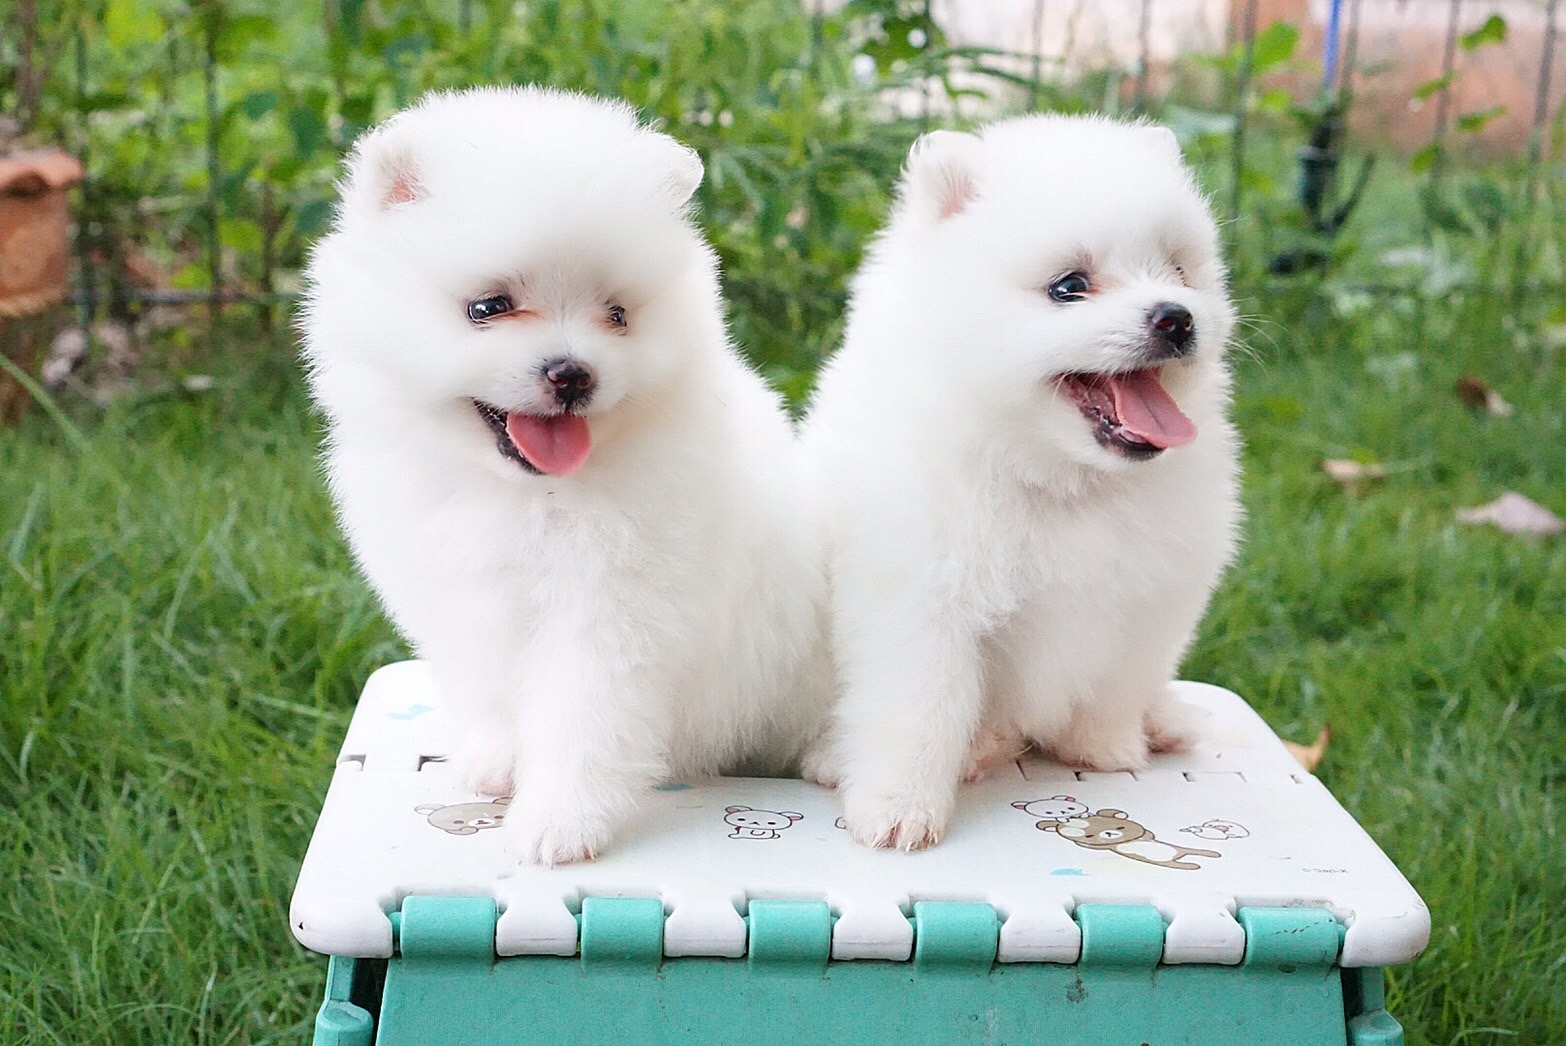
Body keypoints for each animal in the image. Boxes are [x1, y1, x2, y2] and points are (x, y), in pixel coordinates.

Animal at [300, 86, 830, 865]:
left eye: (617, 314)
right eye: (487, 307)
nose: (573, 373)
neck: (524, 493)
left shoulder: (609, 612)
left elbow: (582, 721)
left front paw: (560, 821)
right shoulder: (463, 600)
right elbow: (491, 693)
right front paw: (497, 761)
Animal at [801, 115, 1241, 850]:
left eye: (1179, 270)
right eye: (1069, 286)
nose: (1178, 316)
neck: (1058, 478)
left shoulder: (1153, 601)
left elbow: (1119, 683)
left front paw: (1104, 746)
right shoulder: (922, 603)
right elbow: (917, 709)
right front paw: (898, 808)